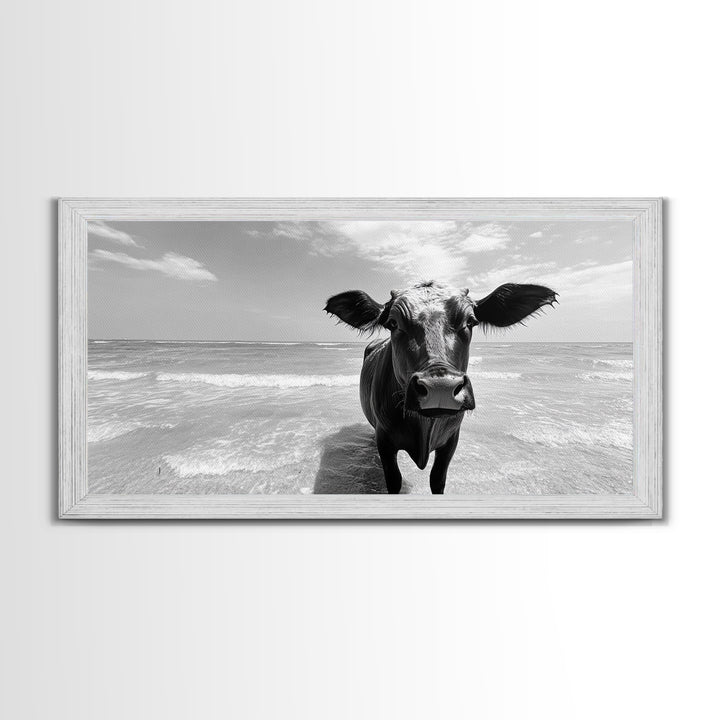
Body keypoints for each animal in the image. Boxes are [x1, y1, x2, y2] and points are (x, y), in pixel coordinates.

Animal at [324, 281, 557, 494]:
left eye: (470, 321)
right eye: (393, 322)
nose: (440, 387)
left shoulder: (451, 440)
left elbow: (437, 479)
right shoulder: (385, 440)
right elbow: (394, 481)